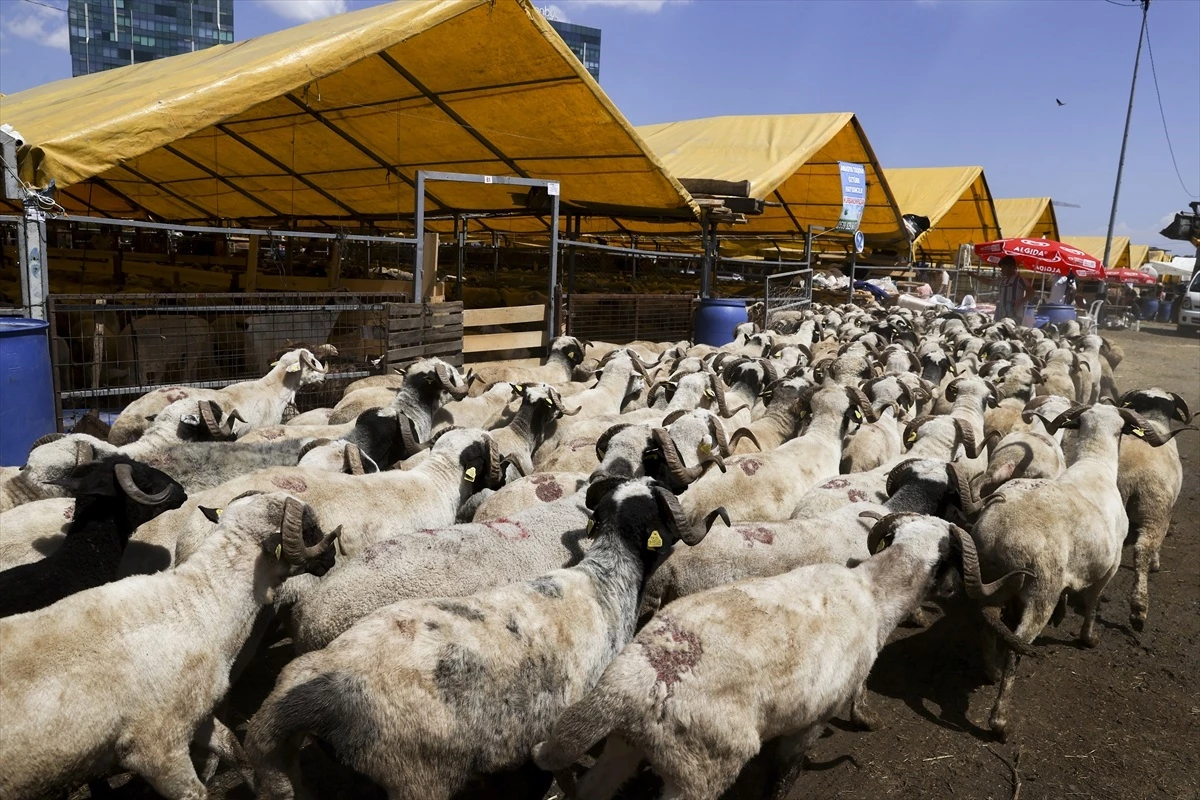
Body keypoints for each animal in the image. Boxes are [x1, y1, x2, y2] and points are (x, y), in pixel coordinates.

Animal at [0, 494, 340, 800]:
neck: (198, 605)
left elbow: (233, 747)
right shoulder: (157, 748)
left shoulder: (192, 715)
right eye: (309, 529)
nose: (332, 559)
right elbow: (194, 792)